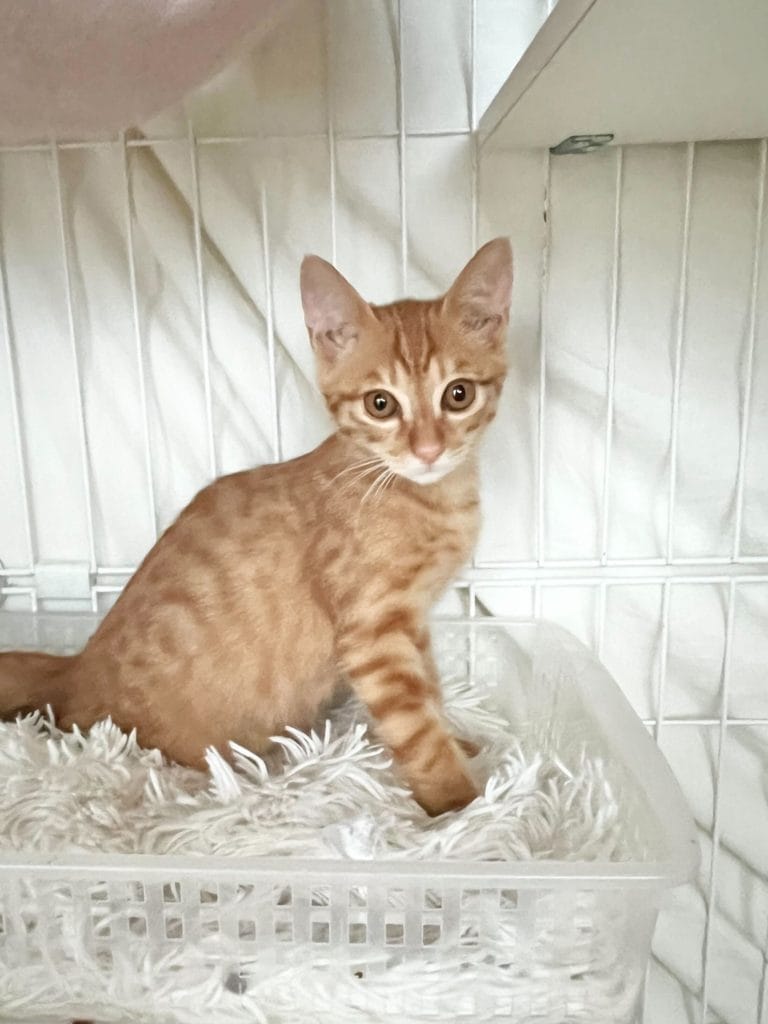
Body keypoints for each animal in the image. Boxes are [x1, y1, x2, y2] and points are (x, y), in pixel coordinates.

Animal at [0, 238, 512, 816]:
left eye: (458, 394)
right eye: (380, 404)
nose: (428, 451)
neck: (421, 494)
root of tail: (74, 668)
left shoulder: (413, 622)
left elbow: (432, 694)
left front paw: (459, 745)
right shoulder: (373, 632)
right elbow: (416, 728)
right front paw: (460, 806)